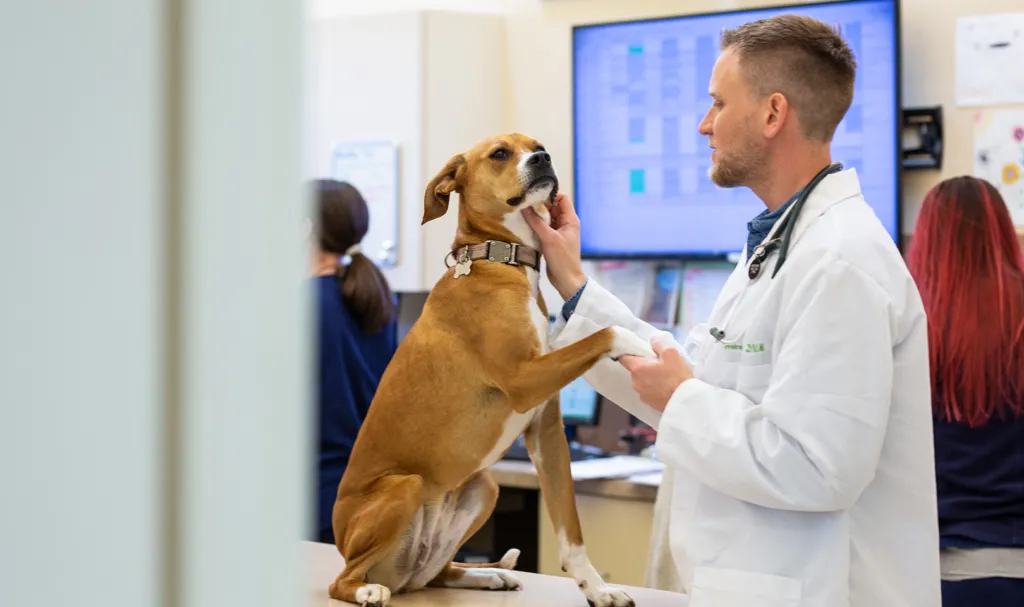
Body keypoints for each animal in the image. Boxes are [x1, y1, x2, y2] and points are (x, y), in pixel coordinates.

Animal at [327, 134, 655, 605]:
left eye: (537, 145)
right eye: (500, 153)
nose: (544, 159)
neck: (500, 259)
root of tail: (397, 574)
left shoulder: (546, 430)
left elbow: (570, 529)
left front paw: (596, 587)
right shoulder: (523, 379)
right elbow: (606, 332)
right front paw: (644, 342)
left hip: (486, 486)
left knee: (438, 573)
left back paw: (487, 576)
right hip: (403, 487)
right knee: (342, 580)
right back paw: (368, 590)